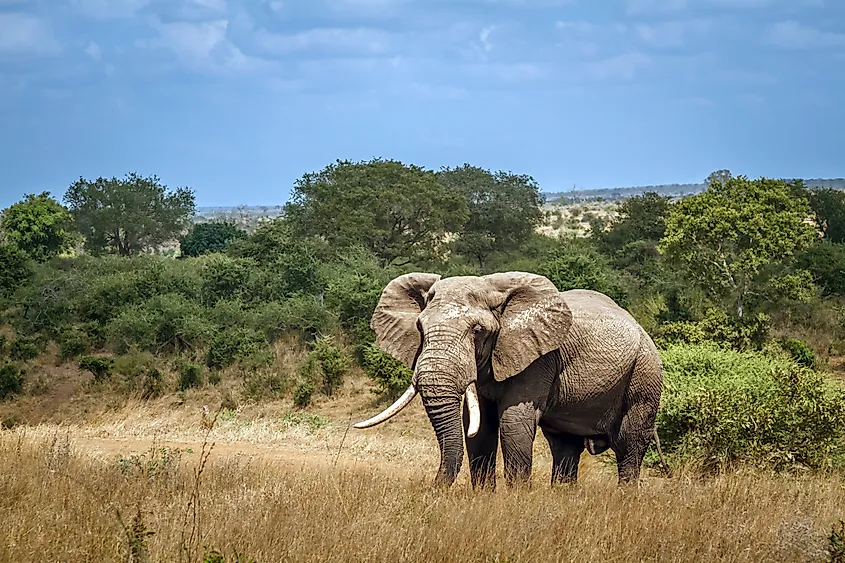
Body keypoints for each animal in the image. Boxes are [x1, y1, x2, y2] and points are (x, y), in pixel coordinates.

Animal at [353, 271, 669, 489]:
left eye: (477, 331)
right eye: (419, 327)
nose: (431, 489)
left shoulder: (539, 358)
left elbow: (513, 422)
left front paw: (517, 502)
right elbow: (479, 429)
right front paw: (483, 498)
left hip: (645, 375)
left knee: (629, 444)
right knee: (565, 446)